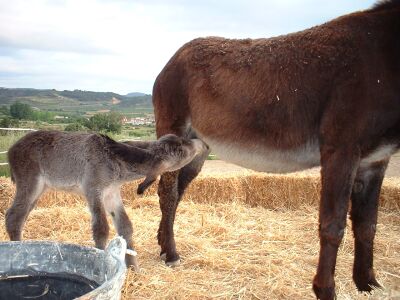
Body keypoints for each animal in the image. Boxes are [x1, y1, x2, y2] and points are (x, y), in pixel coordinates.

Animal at [5, 130, 206, 270]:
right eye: (180, 149)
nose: (201, 143)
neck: (113, 160)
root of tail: (12, 148)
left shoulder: (112, 194)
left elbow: (125, 226)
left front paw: (134, 269)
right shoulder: (94, 191)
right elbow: (101, 229)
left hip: (39, 190)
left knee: (19, 217)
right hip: (30, 182)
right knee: (13, 217)